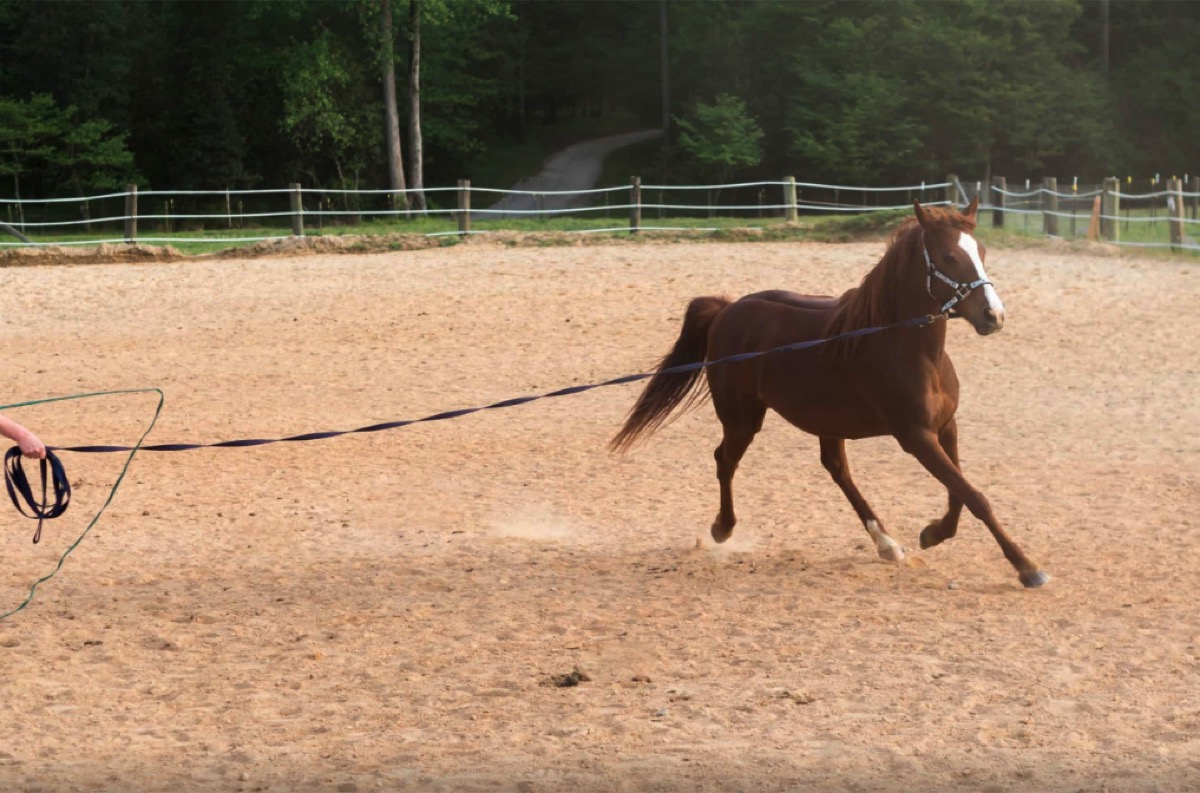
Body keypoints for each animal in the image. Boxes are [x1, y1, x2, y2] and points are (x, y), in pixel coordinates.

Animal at [611, 197, 1049, 589]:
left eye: (982, 252)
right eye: (948, 256)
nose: (994, 316)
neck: (901, 344)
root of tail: (727, 309)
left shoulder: (945, 426)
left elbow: (959, 492)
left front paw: (932, 533)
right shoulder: (915, 436)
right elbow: (974, 496)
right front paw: (1027, 568)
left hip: (823, 420)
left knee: (836, 469)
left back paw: (887, 544)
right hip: (742, 418)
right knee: (726, 460)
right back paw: (722, 529)